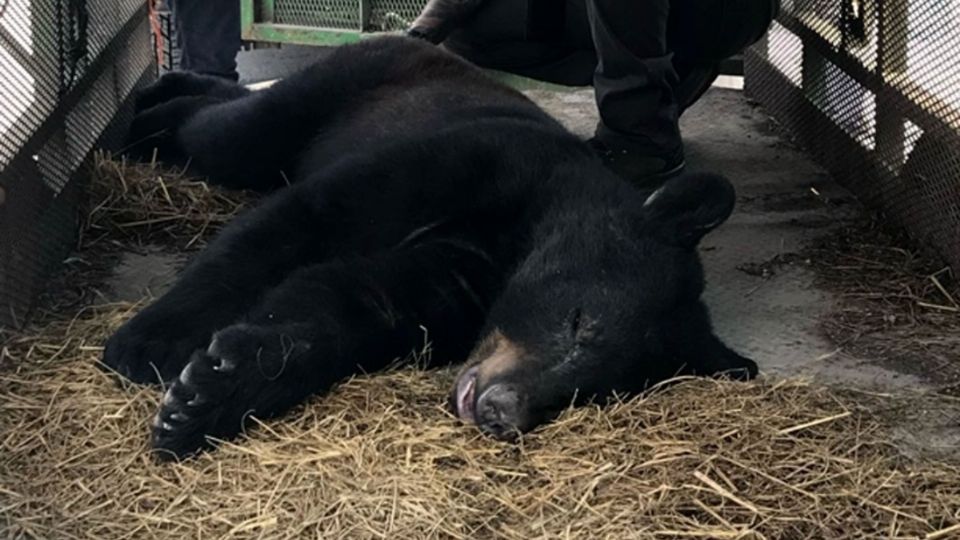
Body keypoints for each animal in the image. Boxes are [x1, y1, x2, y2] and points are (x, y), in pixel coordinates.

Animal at [110, 34, 756, 460]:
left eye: (599, 393)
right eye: (580, 321)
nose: (502, 412)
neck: (518, 238)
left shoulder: (462, 279)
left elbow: (352, 303)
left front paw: (204, 396)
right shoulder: (473, 161)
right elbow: (297, 225)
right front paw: (146, 345)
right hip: (335, 92)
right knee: (225, 130)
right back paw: (147, 108)